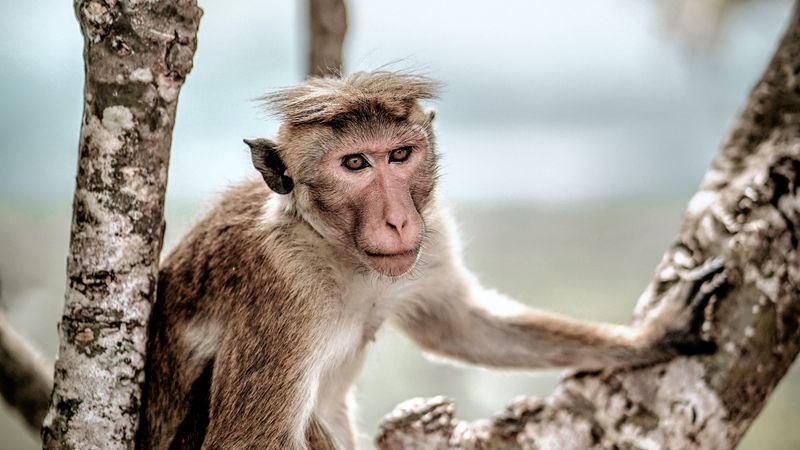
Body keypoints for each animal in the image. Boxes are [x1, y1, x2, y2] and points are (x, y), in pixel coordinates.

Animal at [136, 71, 725, 450]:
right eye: (355, 164)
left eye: (399, 155)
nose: (398, 220)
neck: (337, 252)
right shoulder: (282, 289)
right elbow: (246, 440)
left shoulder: (432, 233)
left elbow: (458, 324)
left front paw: (656, 334)